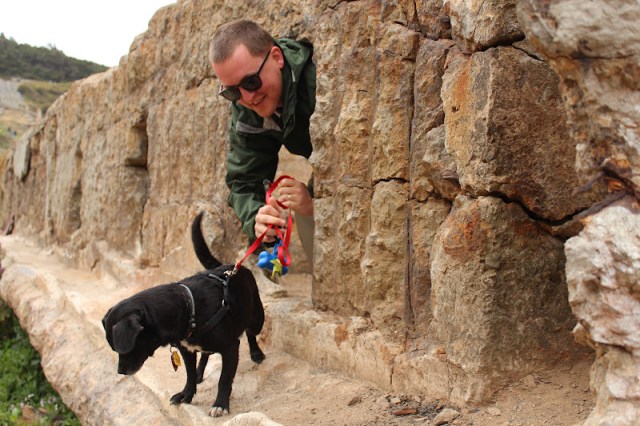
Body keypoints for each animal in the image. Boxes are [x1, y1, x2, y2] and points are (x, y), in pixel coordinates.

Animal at [102, 212, 265, 417]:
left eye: (125, 348)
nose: (120, 371)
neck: (189, 307)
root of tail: (232, 267)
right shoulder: (186, 350)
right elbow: (189, 375)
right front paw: (186, 394)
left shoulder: (230, 348)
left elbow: (224, 380)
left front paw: (220, 404)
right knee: (205, 354)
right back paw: (201, 372)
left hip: (256, 318)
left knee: (251, 333)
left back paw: (256, 353)